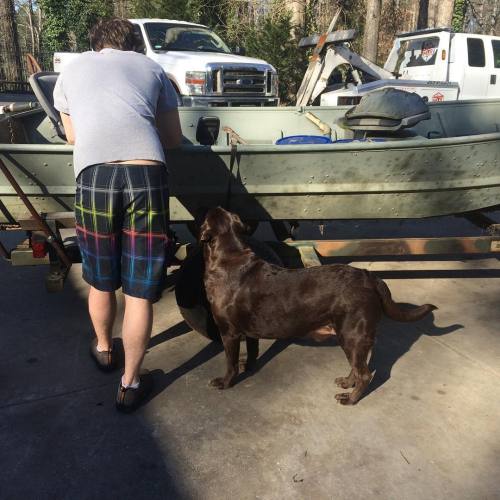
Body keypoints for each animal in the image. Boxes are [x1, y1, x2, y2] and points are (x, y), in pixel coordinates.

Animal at [201, 207, 436, 406]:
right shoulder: (249, 332)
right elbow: (252, 352)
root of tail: (370, 277)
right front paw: (249, 367)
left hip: (351, 335)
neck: (231, 257)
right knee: (357, 367)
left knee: (365, 374)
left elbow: (230, 362)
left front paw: (225, 382)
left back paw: (350, 399)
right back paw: (346, 383)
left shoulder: (229, 332)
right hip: (353, 338)